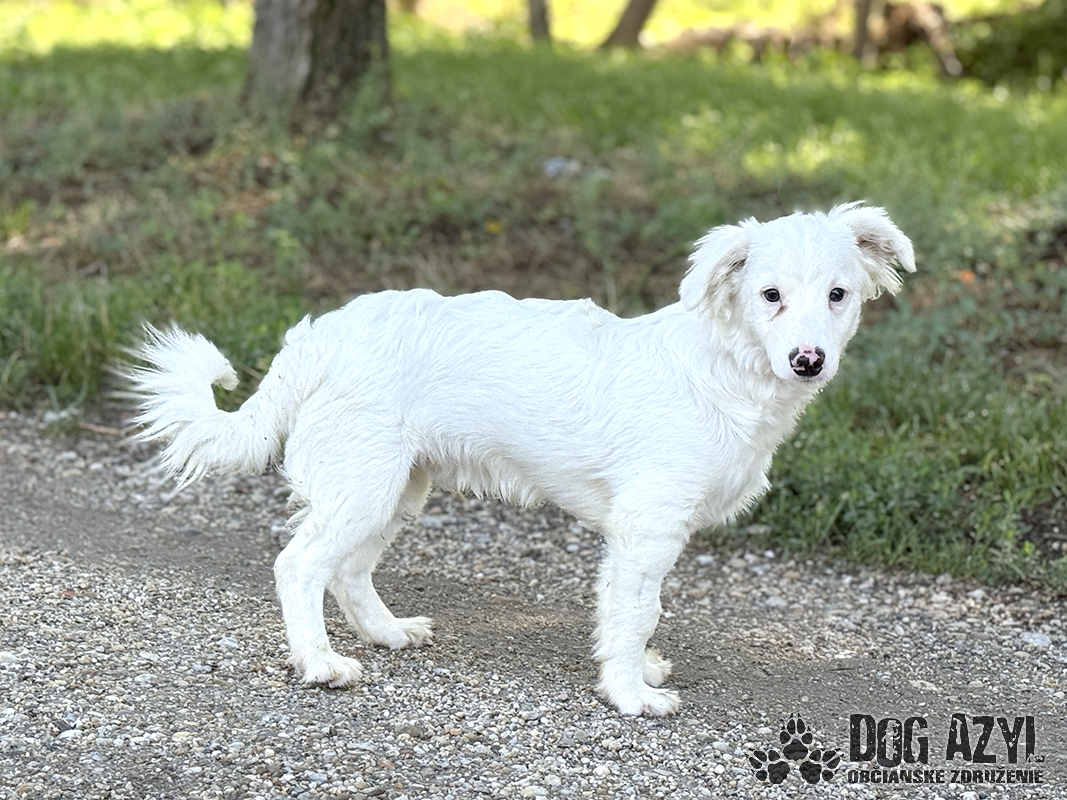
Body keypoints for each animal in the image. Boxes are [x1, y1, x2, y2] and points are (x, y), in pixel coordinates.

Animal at [126, 203, 914, 716]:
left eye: (837, 295)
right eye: (769, 295)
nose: (808, 361)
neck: (723, 369)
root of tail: (321, 334)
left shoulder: (642, 535)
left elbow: (634, 612)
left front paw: (637, 670)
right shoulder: (647, 528)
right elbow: (635, 613)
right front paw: (631, 694)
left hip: (393, 490)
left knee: (347, 572)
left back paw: (386, 633)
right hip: (363, 485)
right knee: (299, 567)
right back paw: (319, 664)